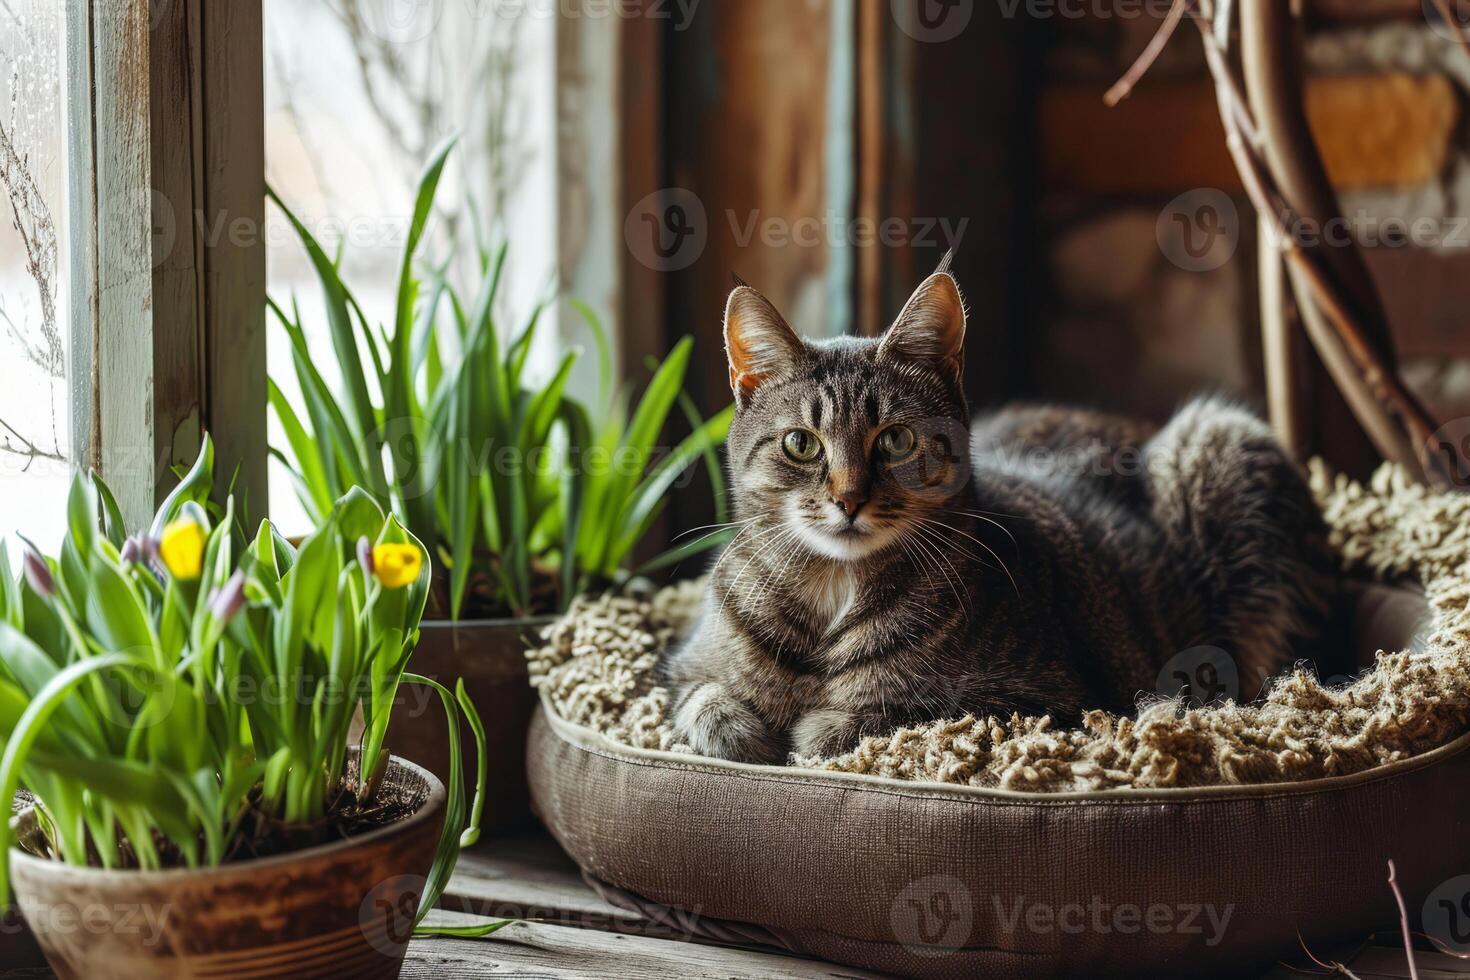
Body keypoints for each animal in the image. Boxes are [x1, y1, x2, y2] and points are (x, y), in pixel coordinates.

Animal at [661, 262, 1340, 764]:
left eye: (896, 440)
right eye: (801, 444)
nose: (849, 499)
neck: (834, 590)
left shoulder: (1038, 702)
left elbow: (891, 712)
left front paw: (812, 731)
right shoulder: (685, 668)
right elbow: (704, 701)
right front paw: (746, 733)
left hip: (1222, 443)